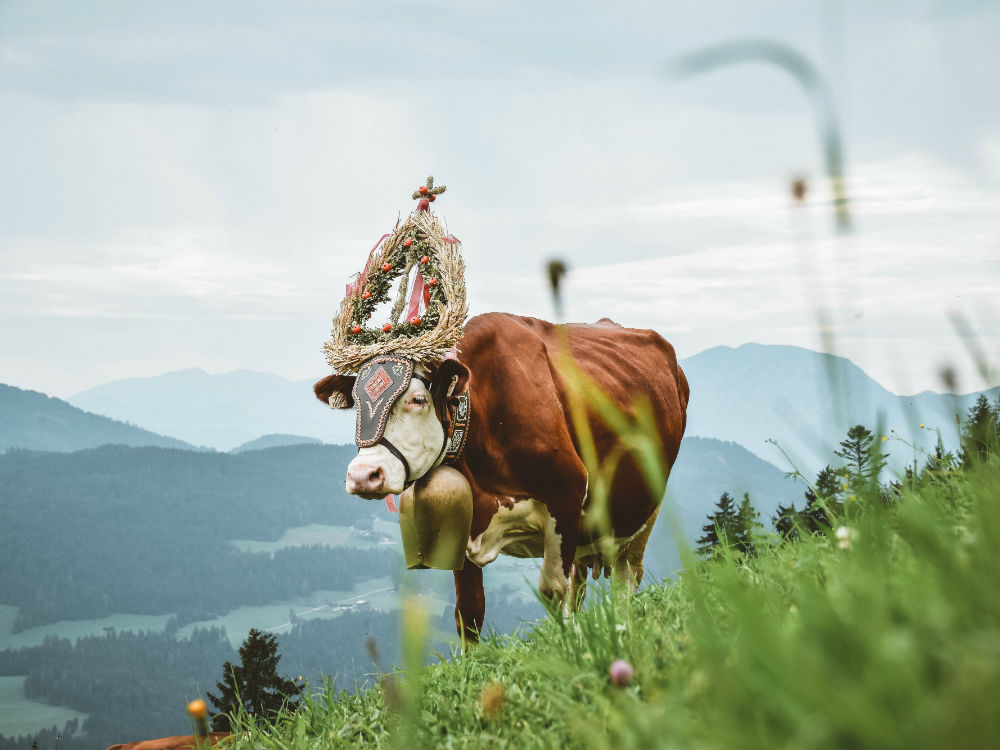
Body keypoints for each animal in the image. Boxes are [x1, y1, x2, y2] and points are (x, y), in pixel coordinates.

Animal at [312, 312, 688, 640]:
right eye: (356, 405)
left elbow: (553, 591)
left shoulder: (566, 498)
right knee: (580, 585)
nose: (364, 475)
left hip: (643, 512)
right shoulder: (462, 516)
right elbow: (469, 611)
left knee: (625, 580)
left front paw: (566, 648)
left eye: (417, 399)